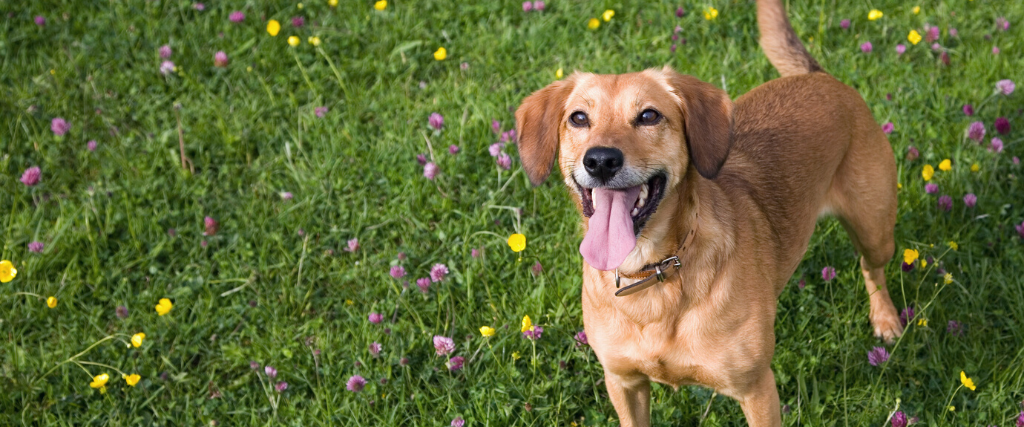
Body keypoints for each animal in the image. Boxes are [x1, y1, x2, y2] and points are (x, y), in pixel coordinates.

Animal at [516, 1, 901, 423]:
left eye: (649, 116)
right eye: (579, 118)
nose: (601, 160)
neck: (652, 273)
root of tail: (819, 77)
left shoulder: (757, 390)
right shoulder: (624, 384)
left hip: (874, 228)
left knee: (872, 268)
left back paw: (885, 319)